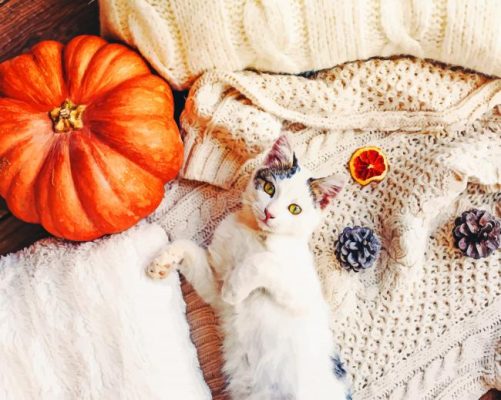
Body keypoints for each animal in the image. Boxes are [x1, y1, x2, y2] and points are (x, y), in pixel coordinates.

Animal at [148, 136, 350, 398]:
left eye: (295, 209)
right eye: (269, 189)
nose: (269, 213)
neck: (255, 233)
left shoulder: (302, 295)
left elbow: (262, 261)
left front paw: (234, 288)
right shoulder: (215, 287)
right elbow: (190, 249)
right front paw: (162, 261)